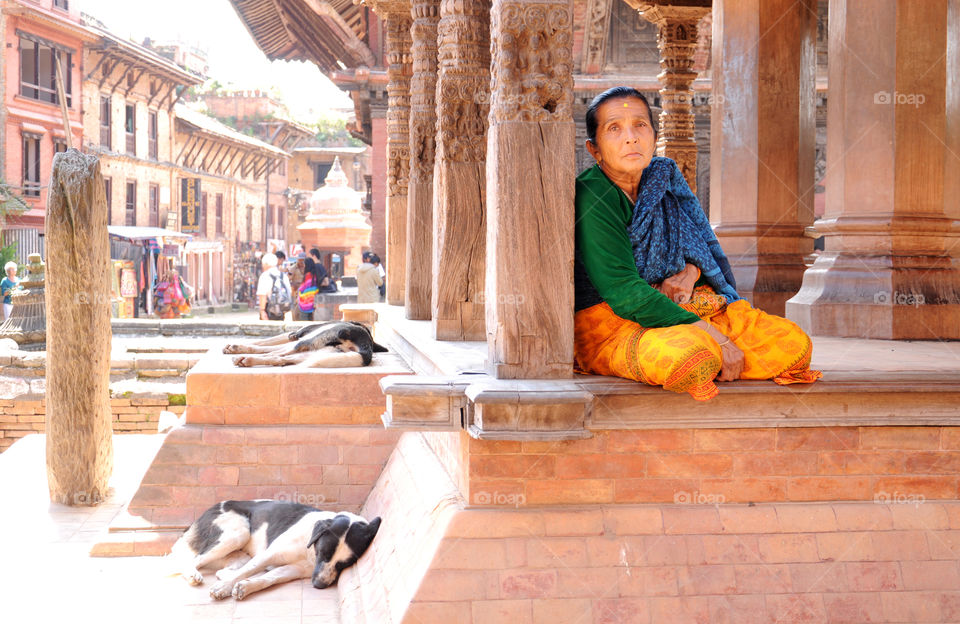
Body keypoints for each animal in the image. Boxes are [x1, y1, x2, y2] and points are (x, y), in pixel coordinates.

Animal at [171, 500, 380, 596]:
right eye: (323, 553)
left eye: (344, 564)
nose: (318, 585)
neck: (309, 551)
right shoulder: (270, 554)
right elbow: (251, 570)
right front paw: (224, 588)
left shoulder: (295, 569)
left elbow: (270, 578)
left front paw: (246, 587)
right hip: (238, 534)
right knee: (194, 560)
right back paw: (193, 574)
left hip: (239, 554)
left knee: (224, 569)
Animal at [223, 320, 388, 368]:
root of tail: (366, 345)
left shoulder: (296, 335)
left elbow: (262, 343)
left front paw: (234, 347)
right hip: (316, 354)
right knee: (279, 358)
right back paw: (246, 360)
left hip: (308, 341)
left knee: (277, 353)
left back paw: (242, 358)